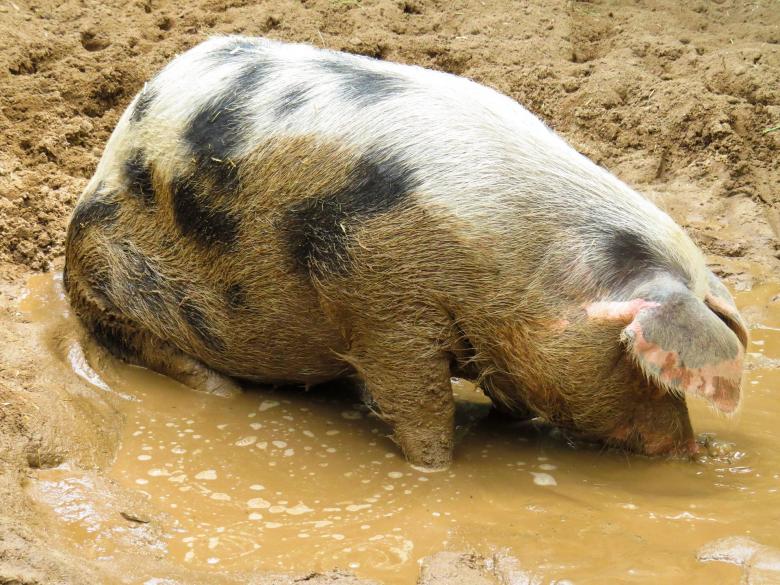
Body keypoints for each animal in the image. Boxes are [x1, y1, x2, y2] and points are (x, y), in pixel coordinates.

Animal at [63, 35, 749, 470]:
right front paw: (436, 473)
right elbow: (420, 404)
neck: (526, 267)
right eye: (640, 367)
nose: (695, 450)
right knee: (161, 353)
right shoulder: (378, 297)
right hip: (104, 274)